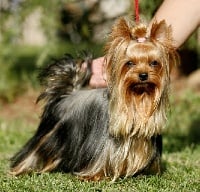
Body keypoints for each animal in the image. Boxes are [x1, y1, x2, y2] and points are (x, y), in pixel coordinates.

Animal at [9, 17, 179, 181]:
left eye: (154, 63)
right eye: (129, 63)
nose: (143, 75)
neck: (138, 99)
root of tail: (68, 93)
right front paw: (95, 176)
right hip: (51, 135)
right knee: (36, 151)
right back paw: (21, 169)